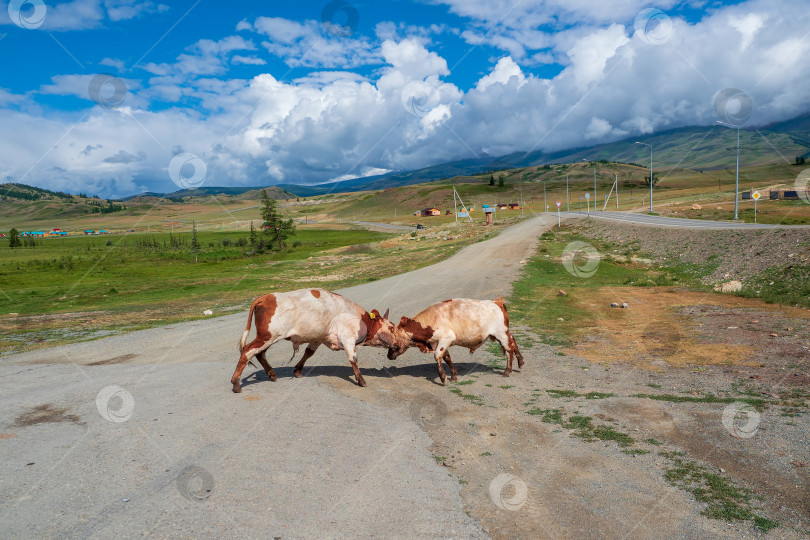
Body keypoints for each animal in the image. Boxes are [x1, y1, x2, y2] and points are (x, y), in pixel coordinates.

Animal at [230, 288, 394, 394]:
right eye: (392, 327)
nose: (397, 343)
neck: (361, 318)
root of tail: (265, 297)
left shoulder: (318, 338)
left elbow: (308, 353)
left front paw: (297, 370)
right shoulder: (347, 338)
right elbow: (353, 358)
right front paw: (361, 380)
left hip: (268, 338)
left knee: (259, 353)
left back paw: (271, 374)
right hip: (267, 337)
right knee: (247, 351)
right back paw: (236, 383)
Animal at [386, 300, 524, 384]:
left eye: (395, 342)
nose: (388, 356)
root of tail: (497, 302)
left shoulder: (446, 338)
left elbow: (437, 356)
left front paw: (443, 377)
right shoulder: (439, 342)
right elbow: (446, 357)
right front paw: (453, 375)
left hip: (501, 334)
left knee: (509, 349)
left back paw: (507, 371)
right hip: (504, 333)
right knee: (513, 342)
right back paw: (521, 362)